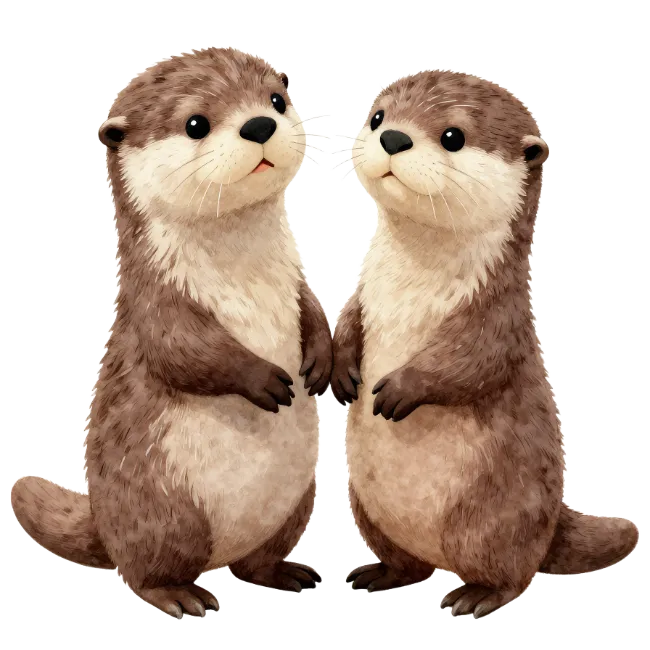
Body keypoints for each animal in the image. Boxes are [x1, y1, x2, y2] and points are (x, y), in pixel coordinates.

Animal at [10, 47, 332, 619]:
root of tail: (104, 522)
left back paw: (286, 572)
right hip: (162, 508)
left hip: (297, 498)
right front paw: (265, 379)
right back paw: (182, 595)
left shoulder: (296, 279)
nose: (259, 125)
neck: (244, 275)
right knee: (143, 569)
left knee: (254, 560)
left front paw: (320, 361)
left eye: (277, 99)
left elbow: (311, 312)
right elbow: (181, 349)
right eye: (195, 123)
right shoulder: (157, 299)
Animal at [332, 69, 639, 618]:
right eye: (379, 116)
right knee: (409, 562)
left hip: (494, 515)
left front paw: (402, 388)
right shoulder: (364, 291)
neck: (409, 288)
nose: (394, 138)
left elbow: (472, 360)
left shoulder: (496, 314)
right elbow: (348, 322)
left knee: (513, 570)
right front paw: (341, 371)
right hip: (367, 505)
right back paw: (379, 573)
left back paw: (474, 596)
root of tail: (553, 518)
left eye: (453, 135)